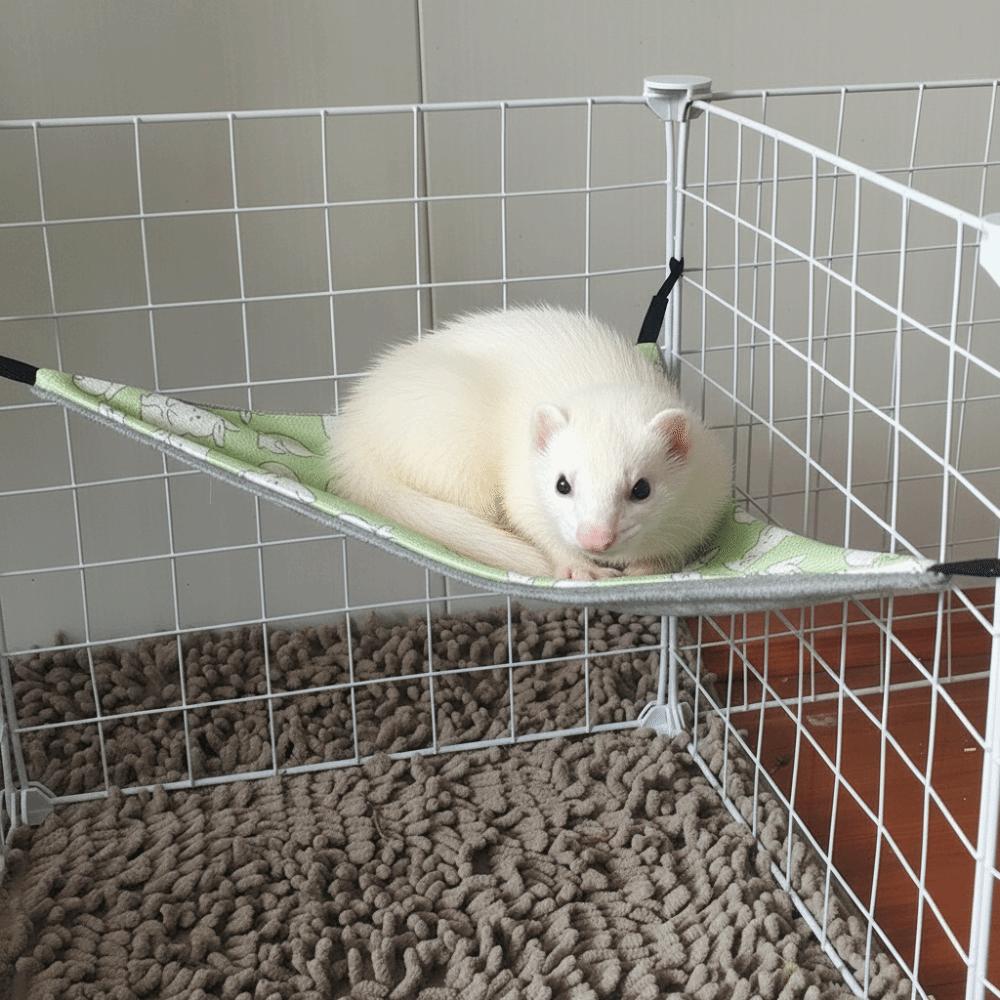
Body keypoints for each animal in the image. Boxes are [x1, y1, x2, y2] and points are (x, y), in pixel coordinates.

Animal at [328, 307, 731, 580]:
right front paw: (579, 567)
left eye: (642, 488)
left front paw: (648, 565)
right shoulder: (522, 488)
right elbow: (531, 522)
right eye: (562, 484)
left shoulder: (704, 503)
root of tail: (352, 436)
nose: (595, 538)